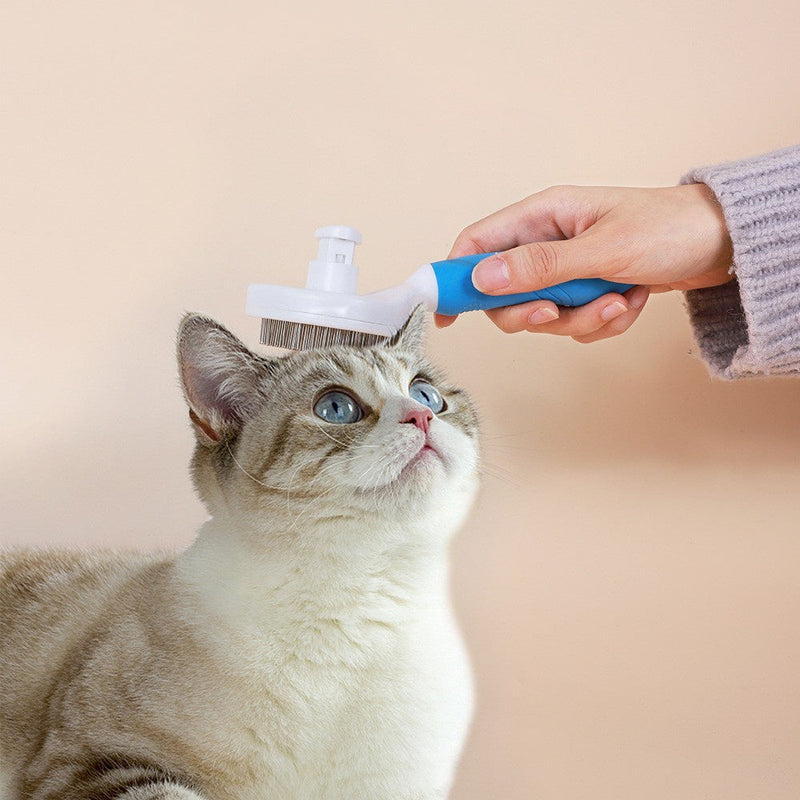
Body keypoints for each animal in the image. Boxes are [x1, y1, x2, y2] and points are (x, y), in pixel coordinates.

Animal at [0, 310, 482, 800]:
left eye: (426, 393)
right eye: (336, 408)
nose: (422, 415)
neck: (360, 602)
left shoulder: (395, 789)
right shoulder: (91, 762)